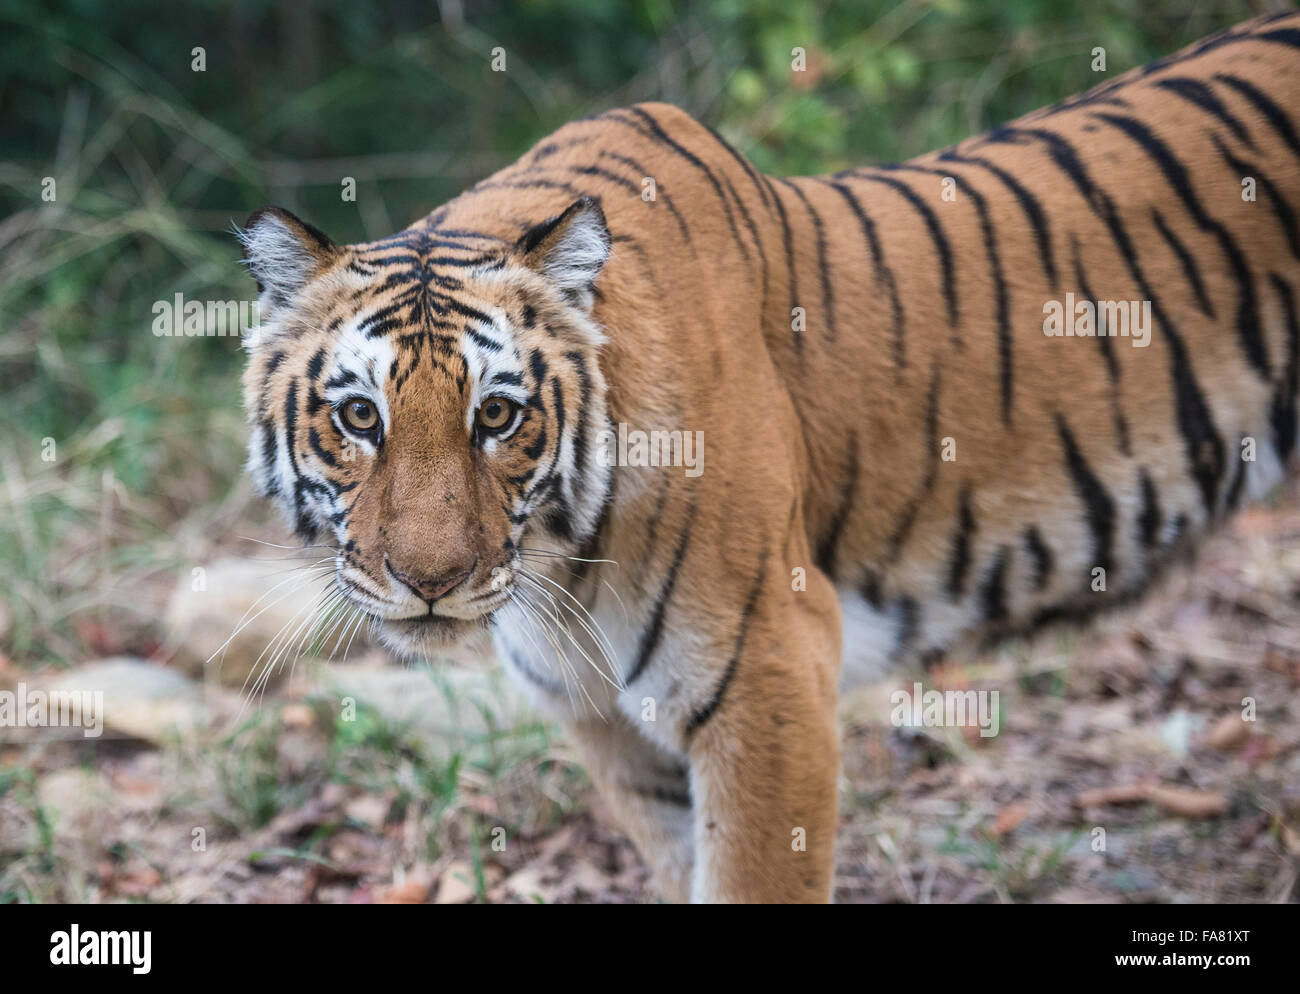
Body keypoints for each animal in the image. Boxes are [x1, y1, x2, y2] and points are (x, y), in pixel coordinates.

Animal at [239, 13, 1300, 899]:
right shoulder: (610, 725)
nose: (430, 582)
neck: (562, 568)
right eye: (360, 417)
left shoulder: (770, 672)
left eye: (497, 415)